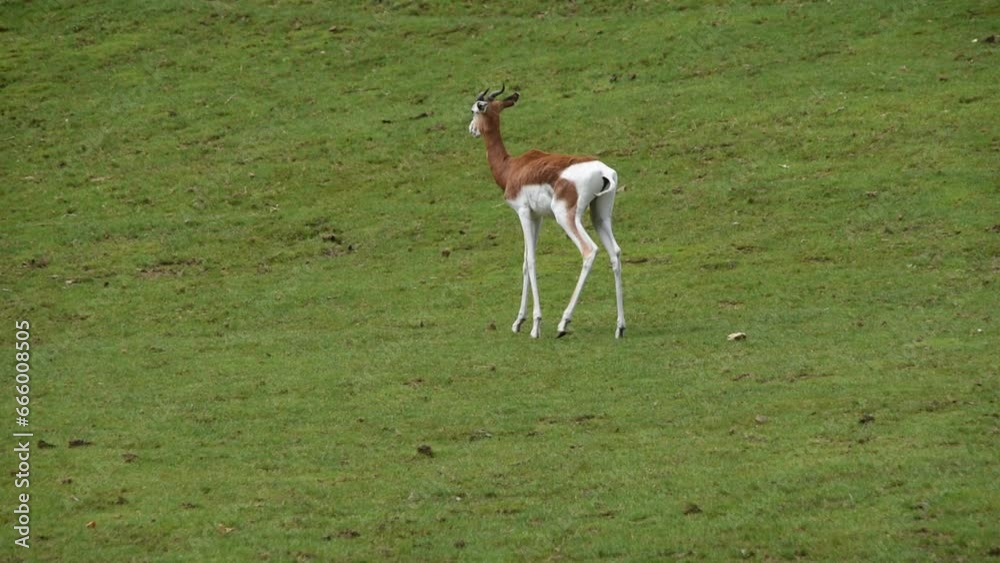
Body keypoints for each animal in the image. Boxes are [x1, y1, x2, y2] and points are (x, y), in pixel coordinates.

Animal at [468, 85, 625, 339]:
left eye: (474, 110)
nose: (471, 129)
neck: (511, 168)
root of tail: (603, 171)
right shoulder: (537, 217)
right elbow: (524, 262)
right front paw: (518, 321)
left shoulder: (523, 212)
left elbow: (531, 260)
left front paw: (536, 325)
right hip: (599, 216)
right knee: (615, 253)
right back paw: (620, 326)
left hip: (566, 217)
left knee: (589, 251)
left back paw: (563, 323)